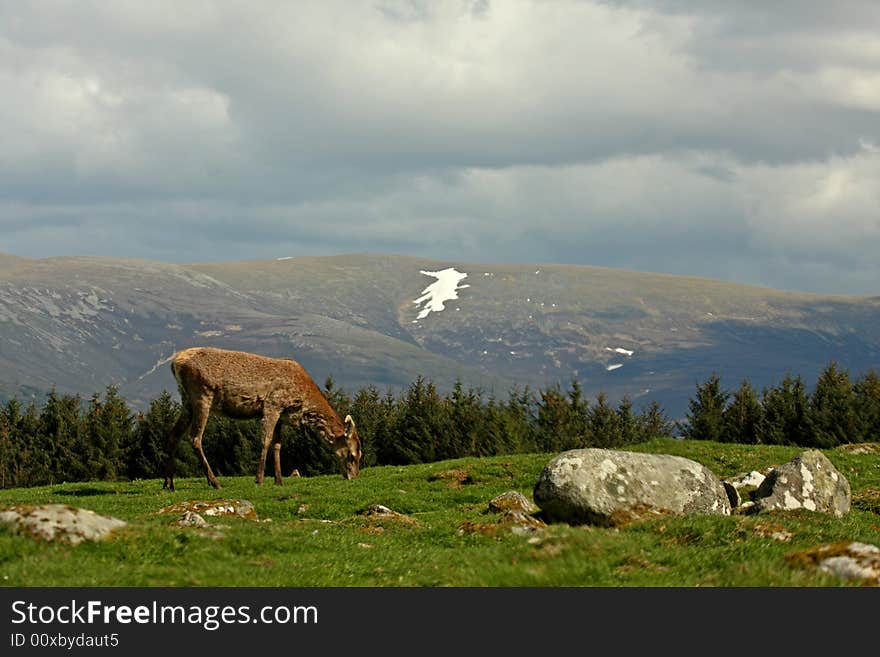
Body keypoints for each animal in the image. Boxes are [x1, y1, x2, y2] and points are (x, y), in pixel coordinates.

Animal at [163, 346, 360, 490]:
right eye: (353, 455)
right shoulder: (272, 405)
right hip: (202, 394)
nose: (353, 477)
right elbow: (265, 441)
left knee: (173, 434)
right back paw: (214, 482)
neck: (301, 402)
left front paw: (279, 481)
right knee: (194, 437)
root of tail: (175, 363)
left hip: (186, 400)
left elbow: (278, 445)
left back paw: (169, 483)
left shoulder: (281, 415)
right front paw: (259, 479)